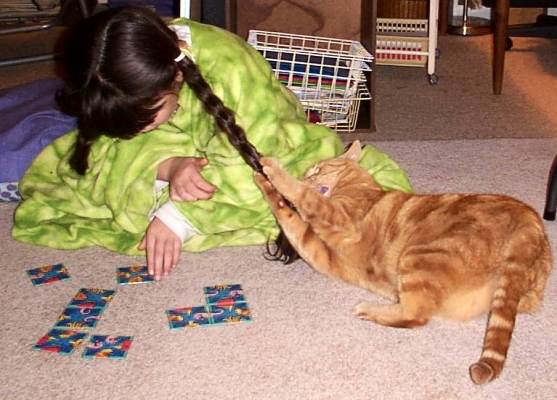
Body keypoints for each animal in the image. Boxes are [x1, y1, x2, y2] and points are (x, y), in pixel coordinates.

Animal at [255, 140, 552, 384]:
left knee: (416, 315)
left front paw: (272, 170)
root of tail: (530, 224)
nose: (307, 175)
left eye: (316, 170)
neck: (359, 186)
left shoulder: (338, 216)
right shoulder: (317, 250)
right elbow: (288, 216)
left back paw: (367, 309)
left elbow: (302, 195)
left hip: (418, 255)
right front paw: (263, 182)